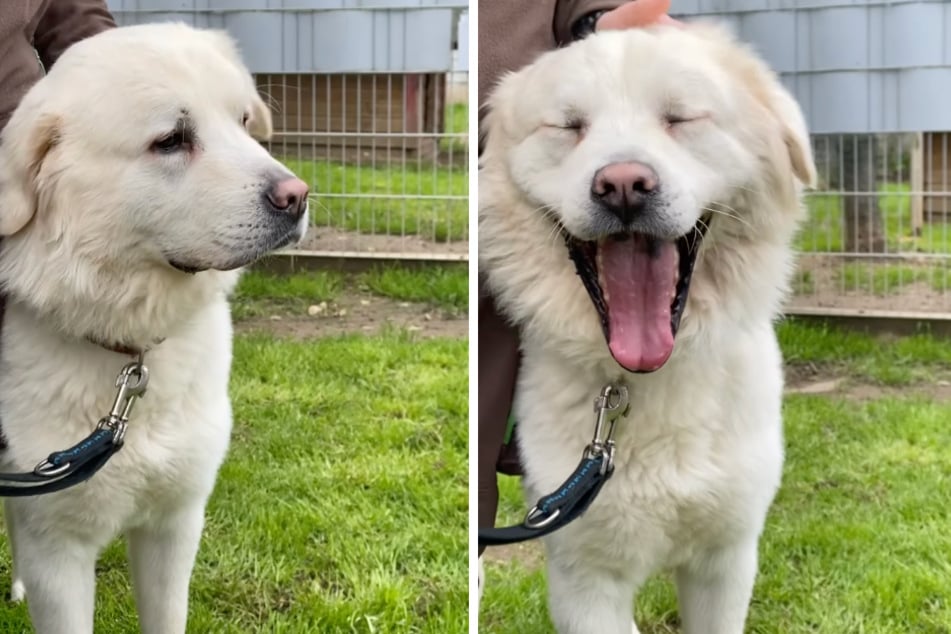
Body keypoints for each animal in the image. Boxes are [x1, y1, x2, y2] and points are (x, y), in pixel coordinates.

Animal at [0, 22, 310, 628]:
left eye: (243, 121)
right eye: (171, 140)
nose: (298, 198)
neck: (130, 354)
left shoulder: (175, 525)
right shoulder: (58, 553)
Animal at [484, 22, 820, 628]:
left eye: (680, 118)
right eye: (570, 127)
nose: (622, 185)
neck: (644, 379)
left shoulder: (727, 561)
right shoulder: (583, 581)